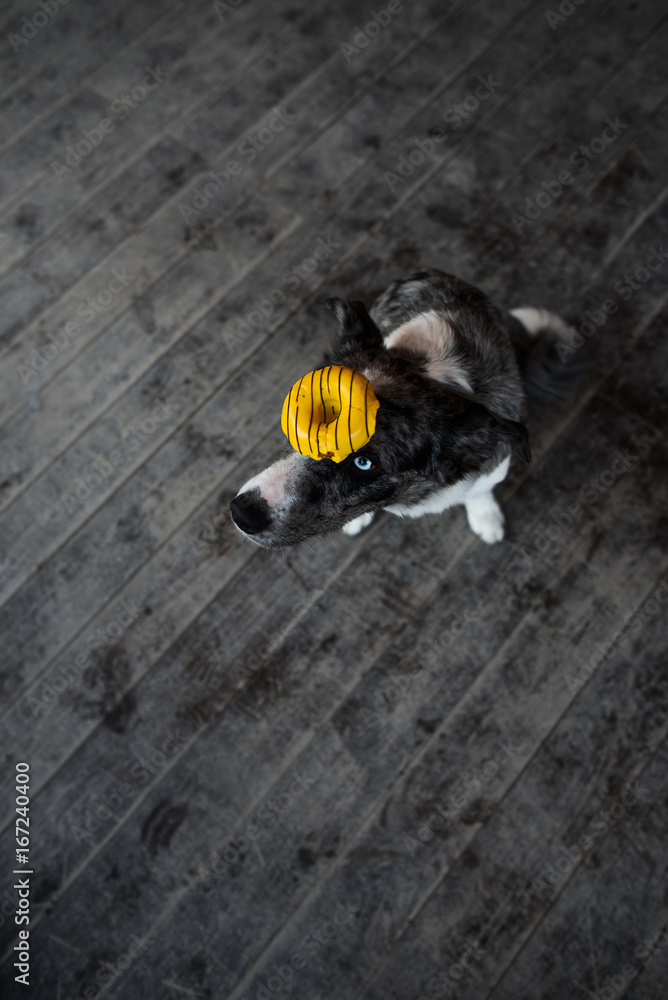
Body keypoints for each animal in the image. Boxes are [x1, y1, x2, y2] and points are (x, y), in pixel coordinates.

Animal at [230, 270, 568, 552]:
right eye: (311, 418)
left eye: (364, 463)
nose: (240, 514)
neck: (429, 370)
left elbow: (479, 489)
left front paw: (485, 515)